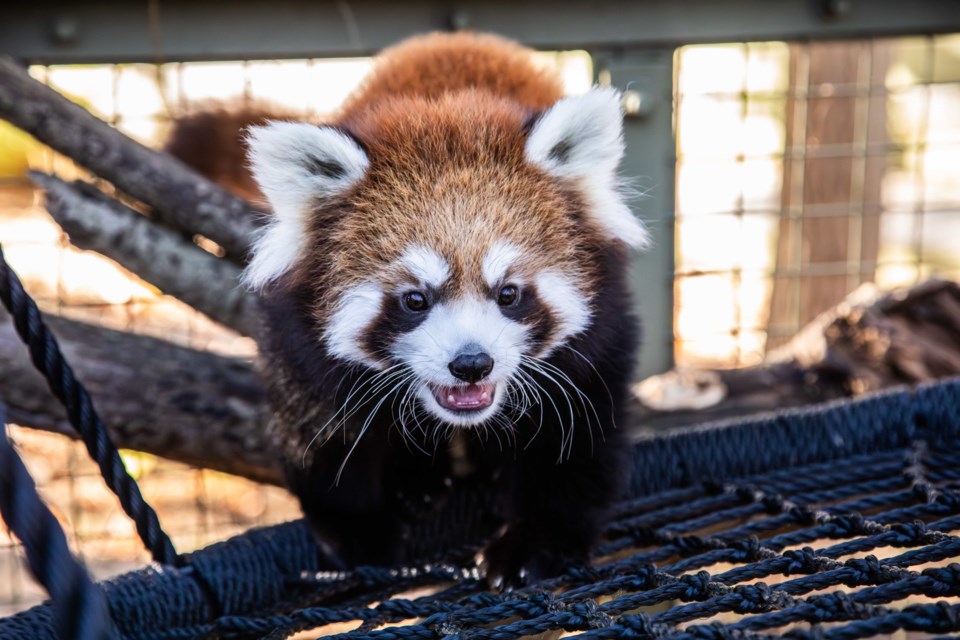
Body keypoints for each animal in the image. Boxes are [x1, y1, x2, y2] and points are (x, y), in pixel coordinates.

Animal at [237, 33, 648, 584]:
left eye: (509, 294)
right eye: (415, 299)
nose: (471, 364)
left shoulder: (601, 326)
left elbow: (577, 437)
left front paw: (534, 544)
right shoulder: (296, 339)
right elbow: (323, 433)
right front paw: (358, 534)